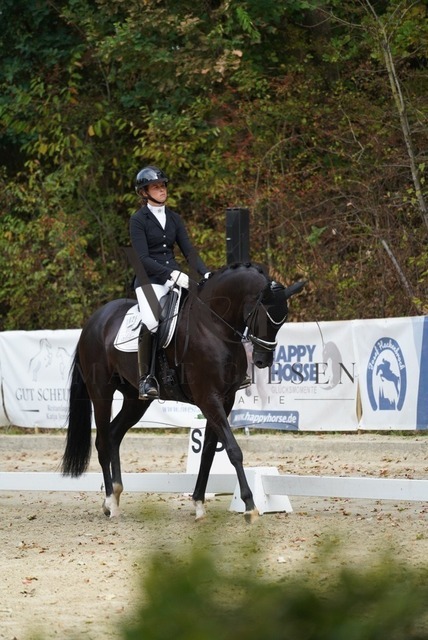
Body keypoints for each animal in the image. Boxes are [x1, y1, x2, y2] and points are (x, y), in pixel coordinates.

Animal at [61, 262, 305, 522]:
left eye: (282, 321)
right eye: (262, 316)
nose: (262, 361)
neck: (214, 326)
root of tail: (94, 320)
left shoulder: (225, 399)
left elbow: (208, 452)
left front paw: (198, 503)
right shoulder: (208, 398)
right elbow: (233, 450)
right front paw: (250, 506)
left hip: (136, 400)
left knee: (114, 435)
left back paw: (115, 498)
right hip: (101, 392)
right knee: (102, 441)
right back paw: (109, 501)